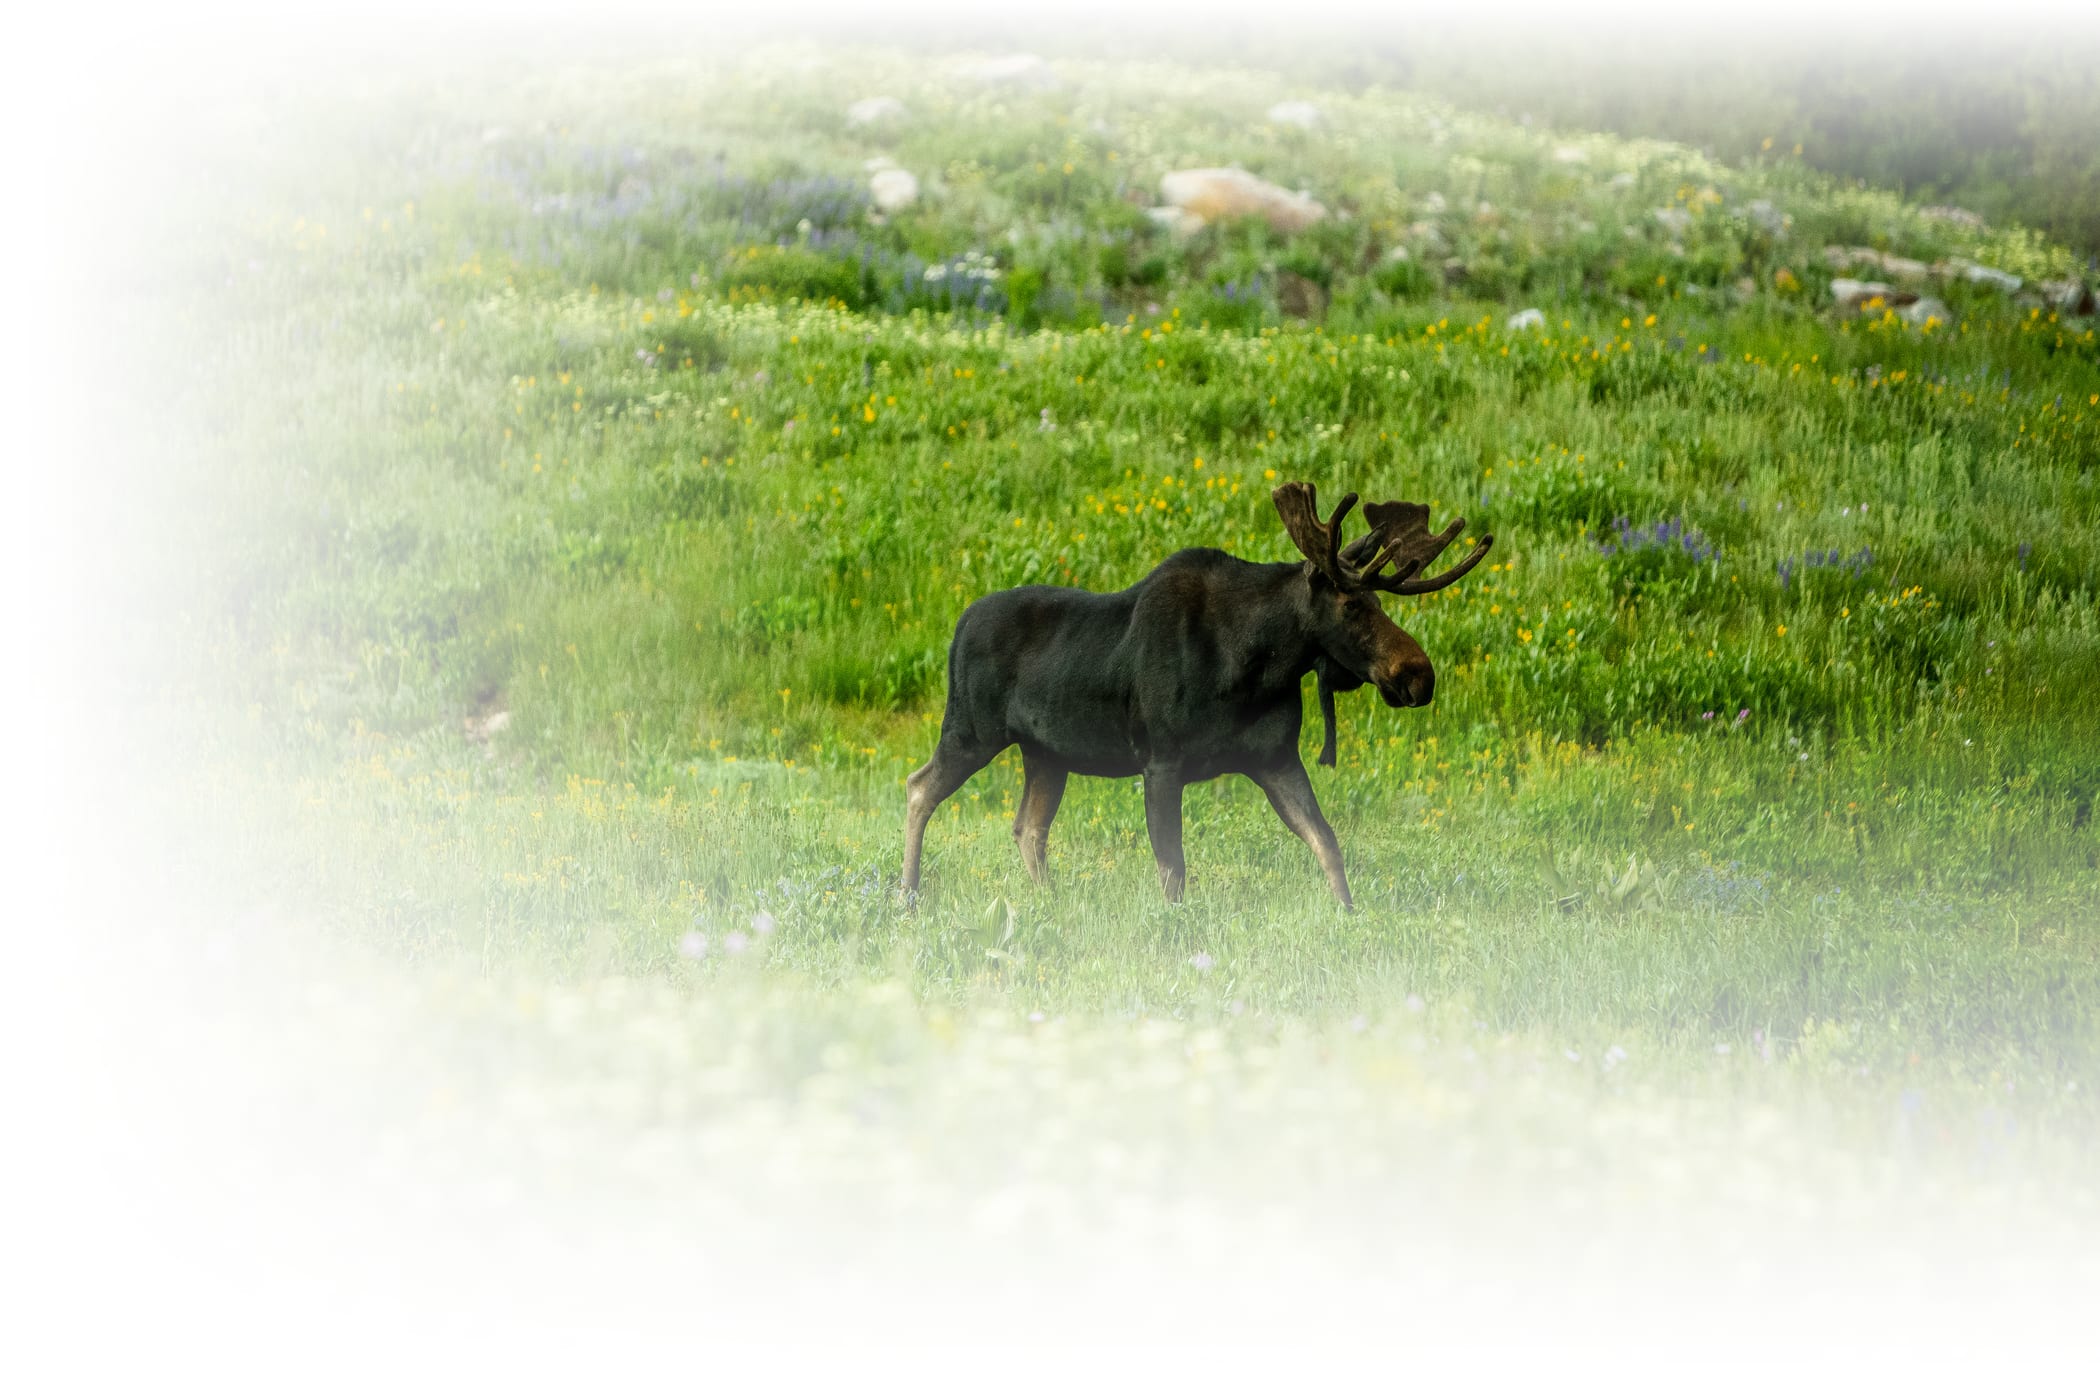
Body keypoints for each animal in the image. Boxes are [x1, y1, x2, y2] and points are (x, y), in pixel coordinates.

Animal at [902, 486, 1495, 910]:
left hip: (1046, 753)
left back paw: (1049, 903)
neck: (1256, 665)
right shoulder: (1161, 761)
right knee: (918, 787)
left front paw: (1350, 918)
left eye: (1379, 602)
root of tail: (956, 629)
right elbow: (1174, 869)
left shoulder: (1277, 759)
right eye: (1352, 606)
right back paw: (907, 895)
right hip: (971, 730)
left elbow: (1327, 843)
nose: (1418, 675)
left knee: (1028, 828)